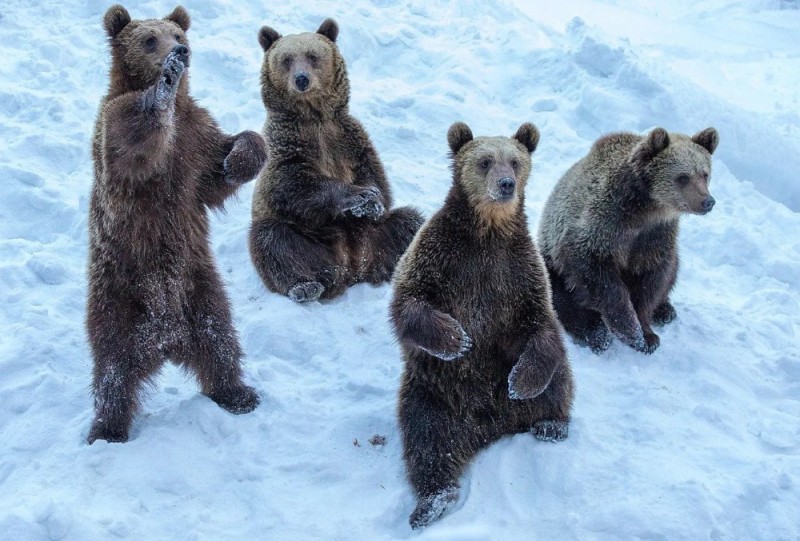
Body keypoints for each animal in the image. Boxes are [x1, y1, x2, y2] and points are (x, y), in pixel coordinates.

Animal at [86, 4, 268, 442]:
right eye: (150, 38)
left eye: (177, 33)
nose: (180, 52)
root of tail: (164, 341)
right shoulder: (119, 134)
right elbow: (130, 137)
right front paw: (162, 89)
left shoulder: (196, 139)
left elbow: (222, 165)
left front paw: (240, 159)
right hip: (118, 295)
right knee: (113, 368)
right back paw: (107, 428)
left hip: (198, 285)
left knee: (219, 338)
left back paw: (237, 393)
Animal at [248, 17, 424, 304]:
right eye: (286, 59)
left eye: (312, 56)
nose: (301, 79)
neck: (314, 117)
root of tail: (355, 269)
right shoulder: (284, 144)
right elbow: (293, 183)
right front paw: (360, 196)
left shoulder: (349, 139)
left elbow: (376, 178)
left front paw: (372, 201)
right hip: (313, 241)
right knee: (273, 239)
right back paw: (305, 286)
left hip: (378, 235)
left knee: (410, 224)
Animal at [390, 121, 572, 528]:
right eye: (485, 161)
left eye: (515, 161)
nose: (506, 184)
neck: (488, 231)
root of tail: (489, 427)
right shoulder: (441, 256)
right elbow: (408, 301)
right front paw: (455, 338)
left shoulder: (519, 273)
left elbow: (541, 323)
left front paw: (523, 382)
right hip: (432, 392)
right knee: (426, 439)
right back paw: (432, 501)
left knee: (559, 377)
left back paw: (551, 424)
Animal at [536, 126, 720, 354]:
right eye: (683, 177)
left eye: (705, 174)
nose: (707, 201)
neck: (647, 209)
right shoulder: (602, 228)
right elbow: (598, 277)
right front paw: (630, 331)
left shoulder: (654, 237)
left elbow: (651, 282)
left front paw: (647, 335)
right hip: (550, 264)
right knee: (562, 297)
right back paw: (594, 333)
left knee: (673, 270)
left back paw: (665, 310)